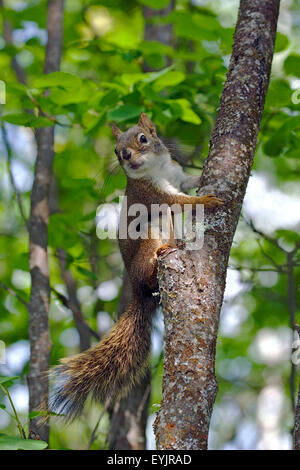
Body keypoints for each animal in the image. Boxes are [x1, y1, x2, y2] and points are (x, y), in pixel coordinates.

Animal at [48, 113, 223, 418]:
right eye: (117, 150)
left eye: (143, 138)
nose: (126, 155)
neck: (158, 169)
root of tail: (136, 287)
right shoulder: (154, 195)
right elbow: (181, 201)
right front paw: (205, 199)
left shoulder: (177, 177)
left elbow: (189, 182)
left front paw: (204, 173)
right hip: (150, 235)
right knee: (152, 262)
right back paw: (163, 254)